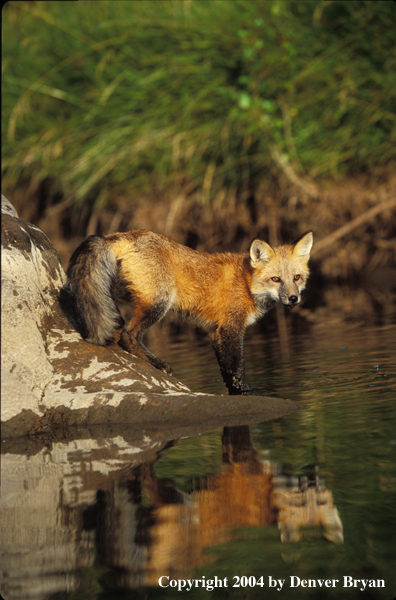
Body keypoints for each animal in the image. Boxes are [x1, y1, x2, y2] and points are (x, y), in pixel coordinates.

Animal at [60, 230, 312, 394]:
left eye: (296, 278)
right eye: (276, 279)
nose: (294, 299)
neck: (246, 283)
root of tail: (122, 234)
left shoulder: (215, 331)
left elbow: (224, 368)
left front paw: (233, 390)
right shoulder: (231, 327)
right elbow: (236, 365)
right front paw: (244, 389)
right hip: (159, 302)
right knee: (127, 335)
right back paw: (157, 363)